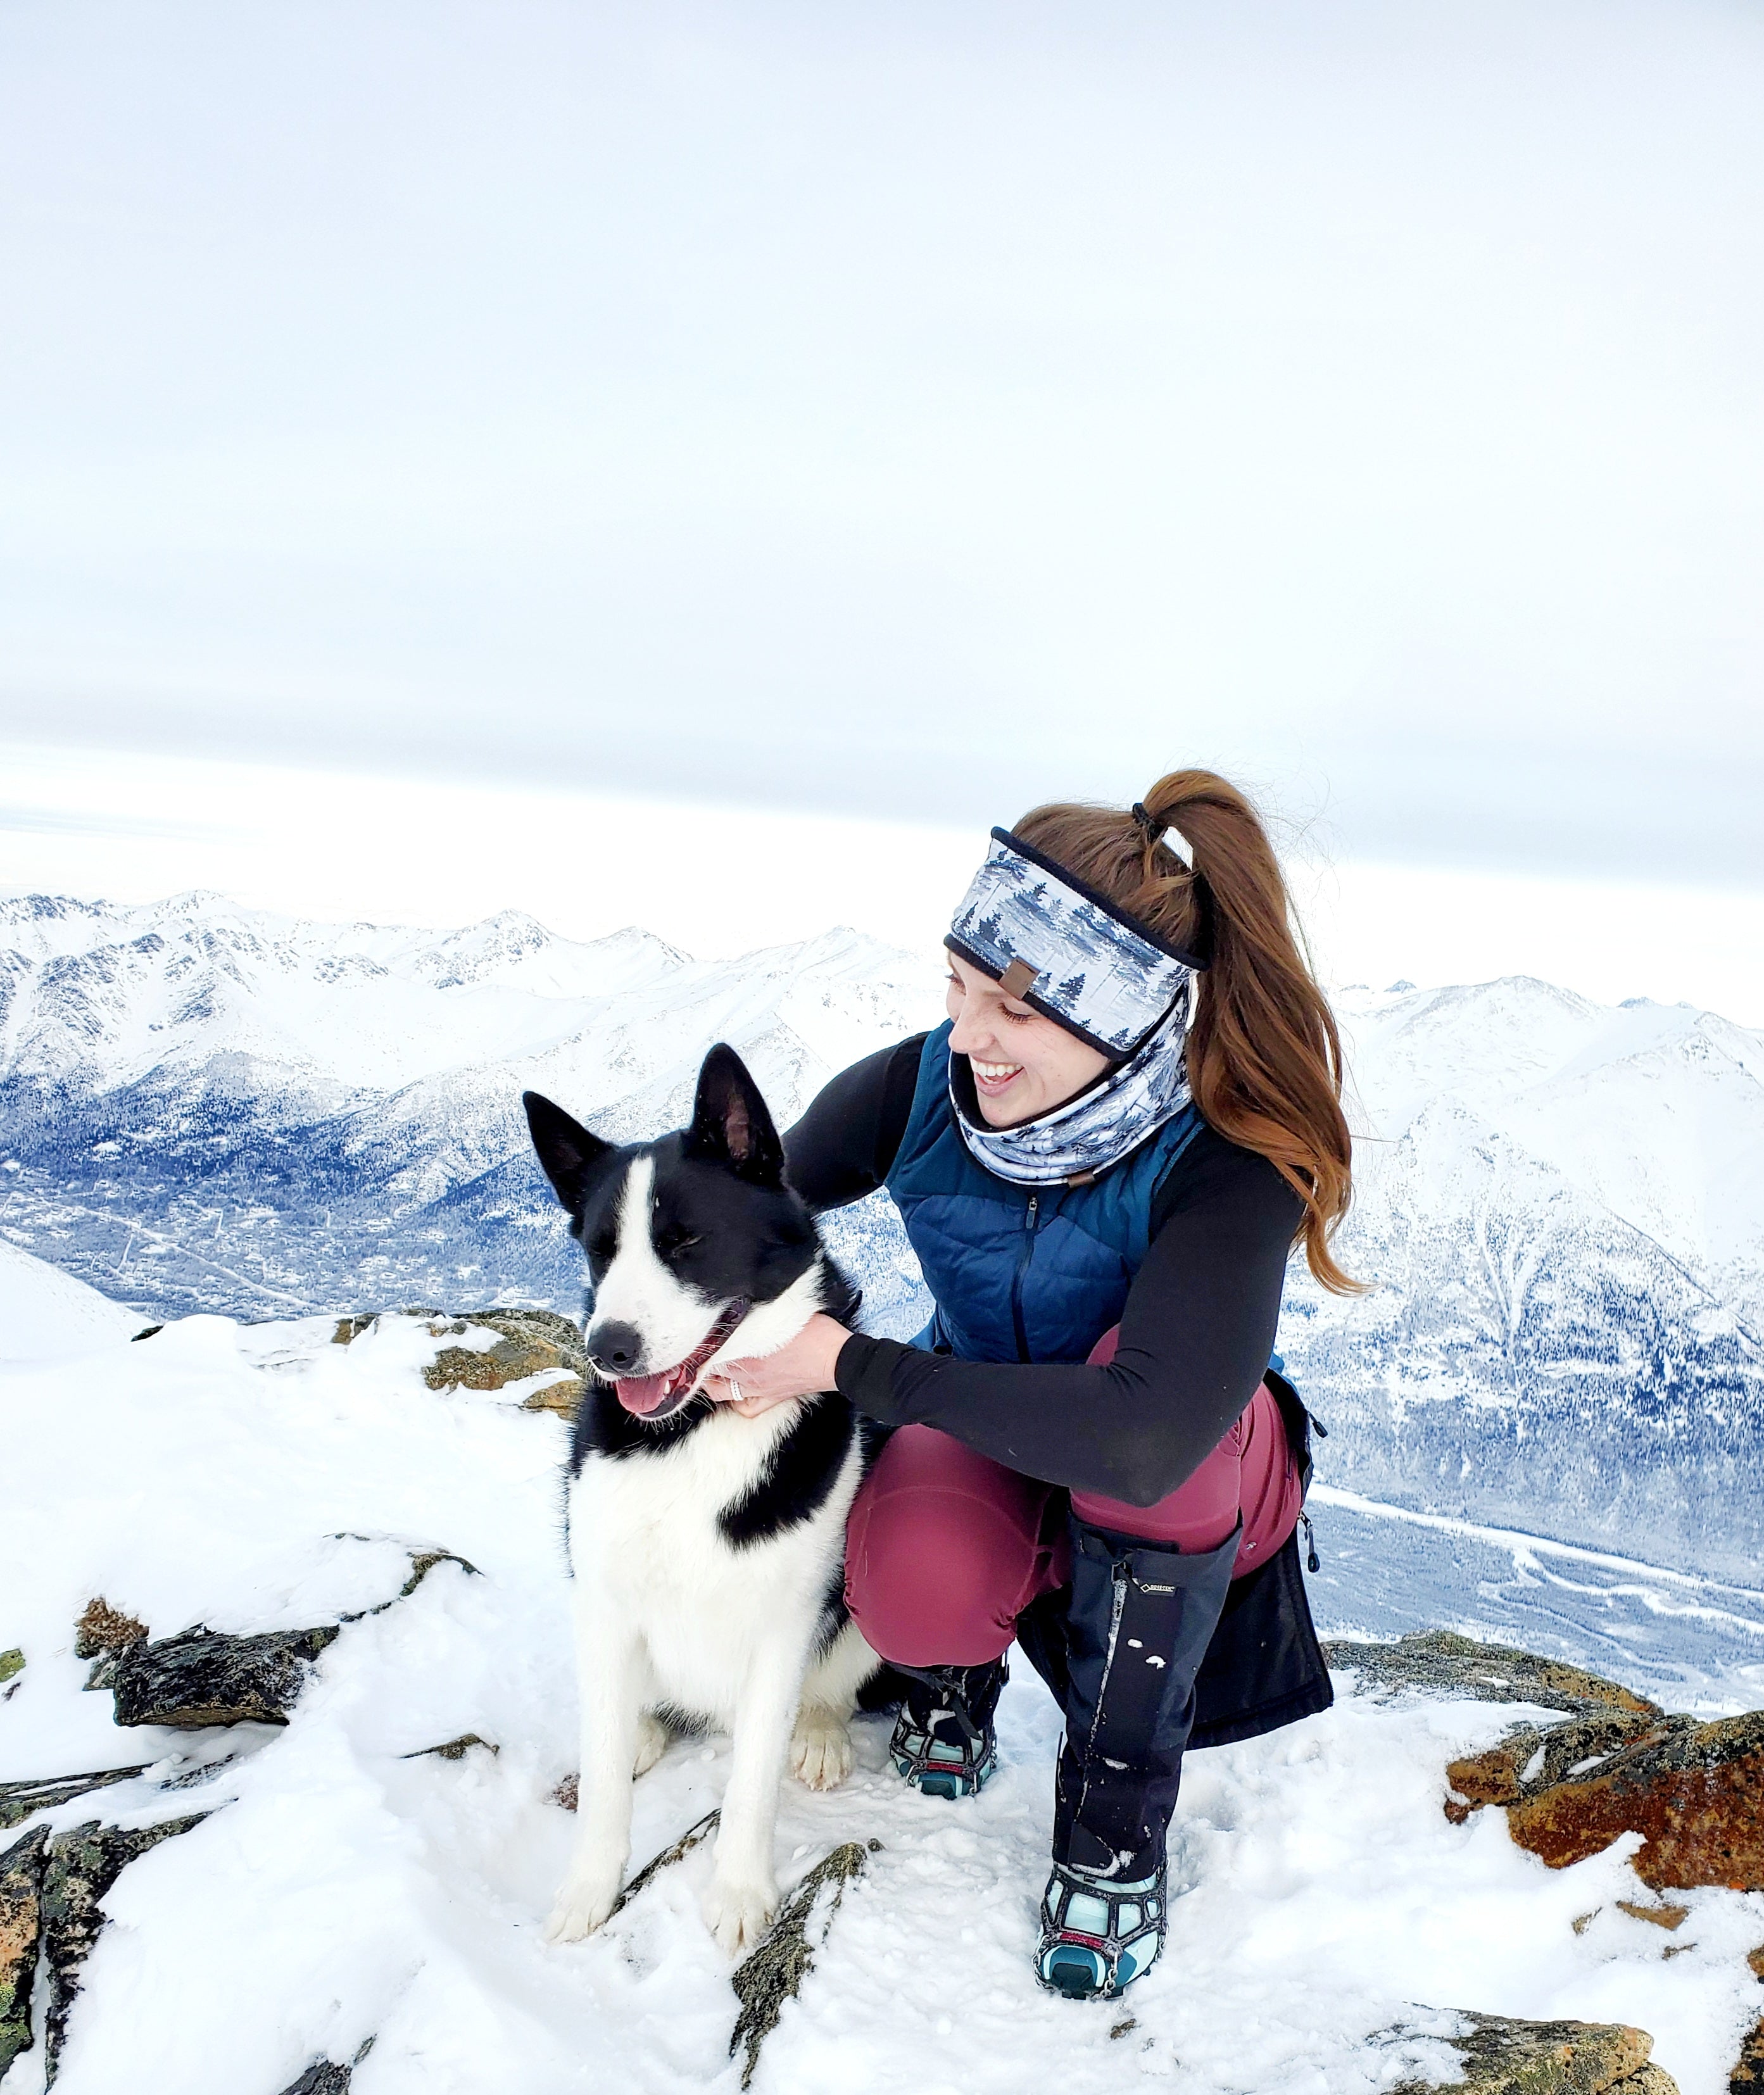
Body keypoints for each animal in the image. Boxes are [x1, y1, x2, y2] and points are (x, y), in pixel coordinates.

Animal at [521, 1055, 879, 1952]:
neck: (695, 1428)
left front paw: (740, 1895)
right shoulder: (605, 1594)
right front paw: (589, 1890)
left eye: (685, 1240)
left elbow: (751, 1785)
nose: (608, 1350)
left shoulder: (782, 1626)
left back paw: (818, 1735)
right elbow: (605, 1786)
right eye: (600, 1250)